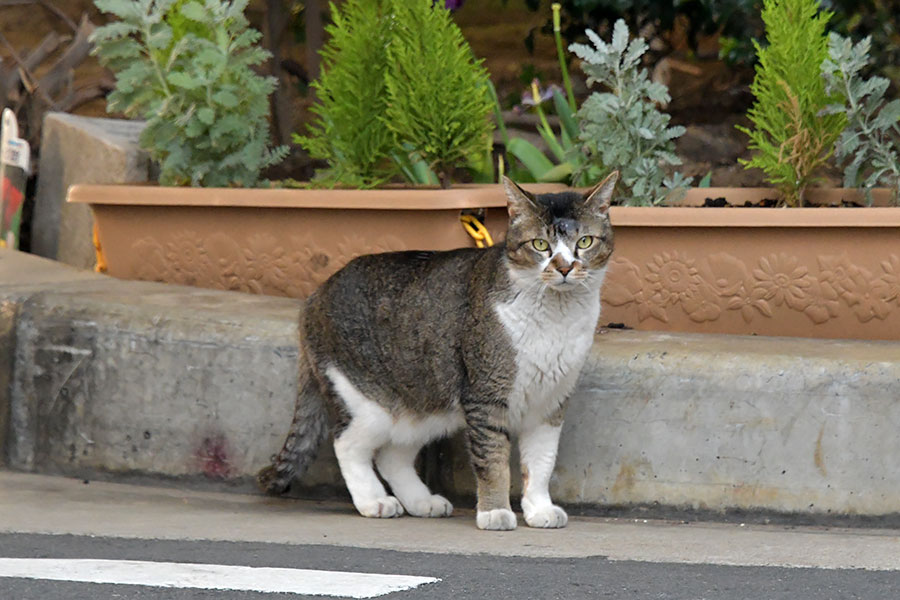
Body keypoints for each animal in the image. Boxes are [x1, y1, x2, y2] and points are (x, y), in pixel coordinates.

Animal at [256, 170, 616, 528]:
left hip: (423, 404)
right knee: (347, 444)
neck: (559, 318)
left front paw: (540, 509)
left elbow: (541, 462)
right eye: (541, 245)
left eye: (584, 242)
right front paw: (495, 512)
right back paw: (374, 500)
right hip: (366, 402)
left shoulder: (550, 402)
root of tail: (314, 296)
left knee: (392, 456)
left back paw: (422, 501)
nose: (565, 267)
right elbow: (493, 462)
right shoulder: (485, 398)